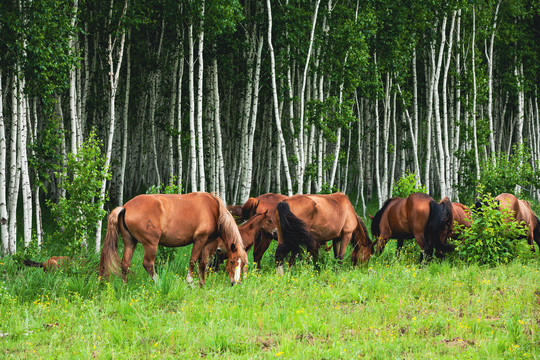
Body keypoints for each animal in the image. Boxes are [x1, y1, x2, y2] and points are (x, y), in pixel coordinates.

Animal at [99, 193, 249, 286]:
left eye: (243, 264)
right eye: (232, 261)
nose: (235, 283)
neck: (214, 210)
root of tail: (125, 207)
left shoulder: (205, 243)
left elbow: (202, 263)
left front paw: (202, 284)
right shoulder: (200, 240)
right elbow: (193, 261)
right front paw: (190, 282)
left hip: (130, 242)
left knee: (125, 264)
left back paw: (125, 285)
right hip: (151, 244)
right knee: (148, 264)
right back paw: (158, 282)